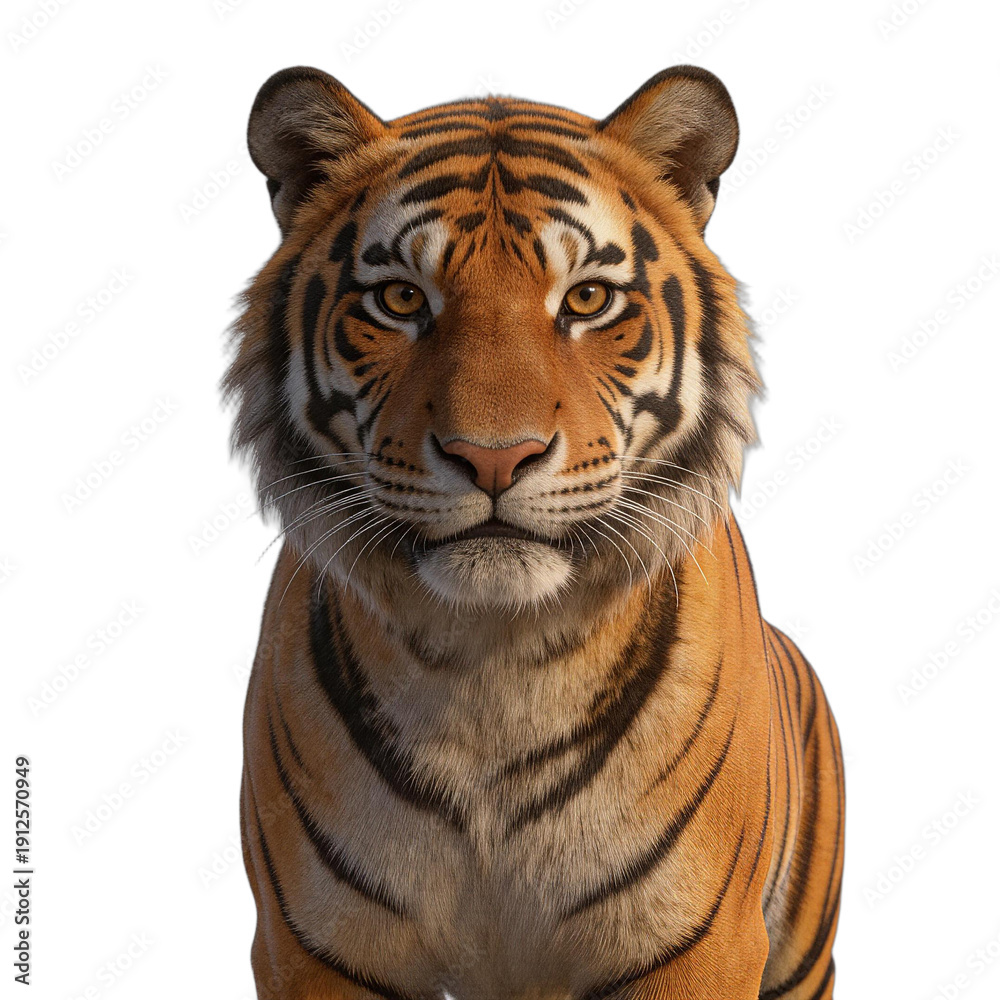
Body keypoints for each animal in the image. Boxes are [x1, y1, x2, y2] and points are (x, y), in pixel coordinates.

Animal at [228, 63, 844, 1000]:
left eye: (586, 298)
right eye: (400, 298)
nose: (493, 457)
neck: (491, 667)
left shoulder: (694, 944)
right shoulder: (313, 946)